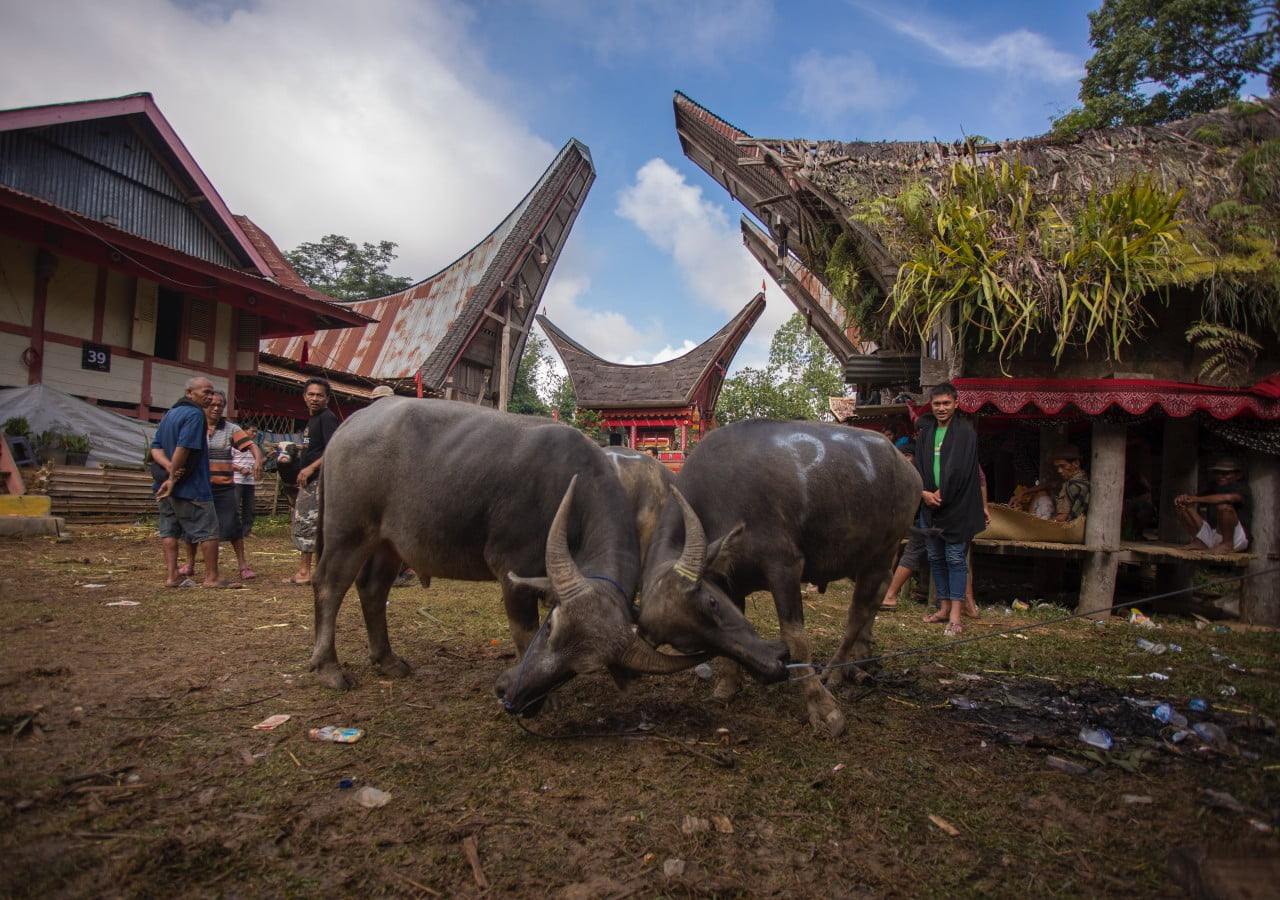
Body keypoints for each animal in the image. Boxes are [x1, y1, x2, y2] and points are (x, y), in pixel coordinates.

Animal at [308, 399, 706, 706]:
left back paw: (387, 659)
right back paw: (328, 668)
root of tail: (353, 422)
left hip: (390, 543)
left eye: (580, 669)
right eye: (551, 630)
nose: (513, 695)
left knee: (373, 589)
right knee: (329, 586)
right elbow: (522, 632)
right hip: (347, 532)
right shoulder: (513, 571)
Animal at [640, 422, 921, 737]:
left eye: (712, 603)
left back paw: (835, 672)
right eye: (689, 646)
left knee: (857, 613)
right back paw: (862, 656)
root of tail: (907, 469)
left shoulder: (784, 566)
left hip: (884, 551)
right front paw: (727, 686)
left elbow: (796, 639)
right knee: (876, 597)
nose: (770, 669)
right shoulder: (731, 580)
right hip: (859, 559)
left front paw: (824, 710)